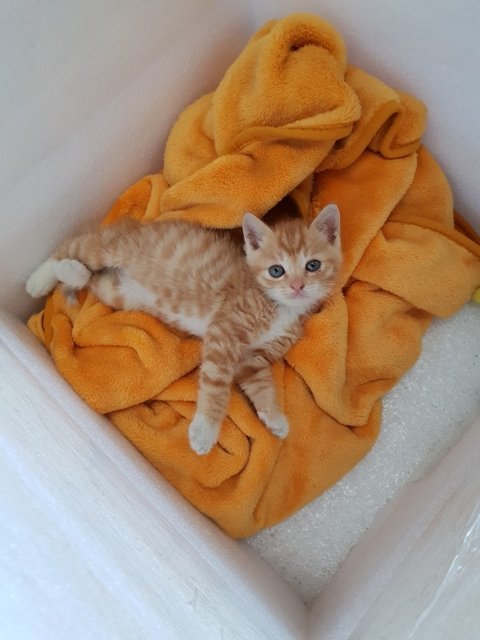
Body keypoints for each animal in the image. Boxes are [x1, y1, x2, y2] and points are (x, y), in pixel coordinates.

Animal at [26, 205, 342, 455]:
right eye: (277, 271)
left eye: (313, 265)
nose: (297, 286)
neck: (280, 307)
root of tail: (141, 223)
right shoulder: (224, 332)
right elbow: (216, 386)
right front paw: (205, 430)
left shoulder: (251, 358)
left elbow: (262, 384)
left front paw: (274, 416)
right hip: (111, 248)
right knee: (72, 247)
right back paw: (40, 279)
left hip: (120, 293)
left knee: (91, 278)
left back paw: (71, 273)